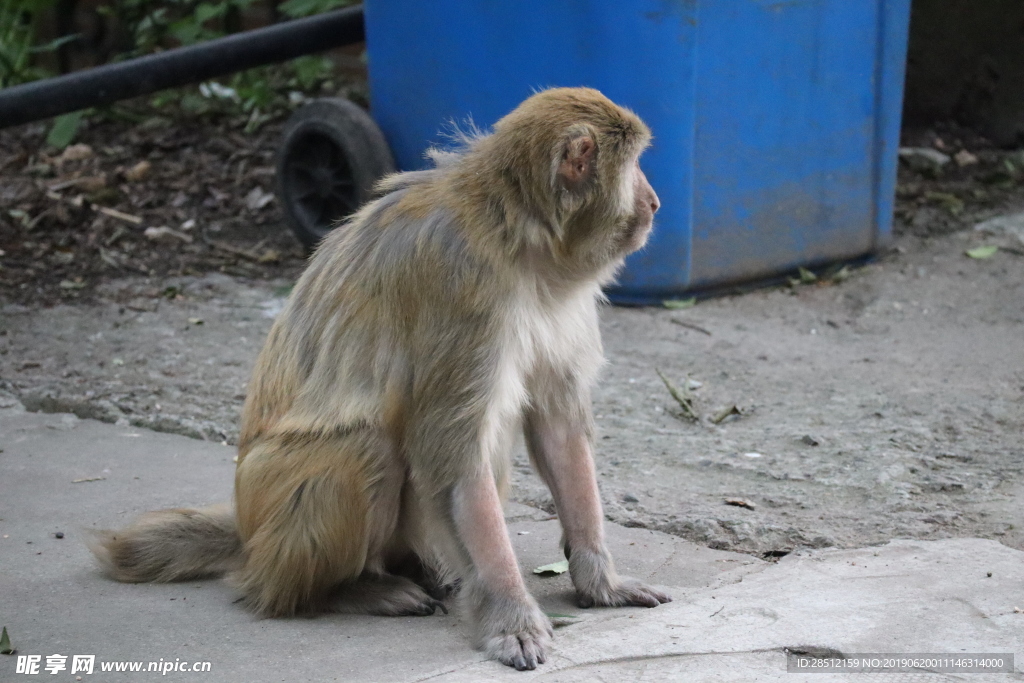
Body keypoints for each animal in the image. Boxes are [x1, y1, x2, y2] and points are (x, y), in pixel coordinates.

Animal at [86, 87, 663, 671]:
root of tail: (249, 535)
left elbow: (557, 430)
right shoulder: (463, 290)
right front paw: (510, 615)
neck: (518, 235)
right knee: (366, 446)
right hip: (272, 513)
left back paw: (416, 569)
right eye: (636, 165)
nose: (655, 201)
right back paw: (342, 590)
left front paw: (599, 580)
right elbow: (454, 461)